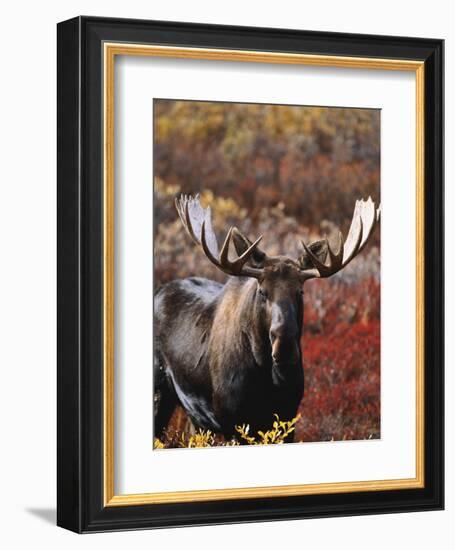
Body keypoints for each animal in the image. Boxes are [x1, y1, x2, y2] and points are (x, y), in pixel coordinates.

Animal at [154, 195, 382, 444]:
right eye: (262, 291)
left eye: (300, 292)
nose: (284, 347)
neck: (267, 377)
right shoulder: (231, 420)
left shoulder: (288, 417)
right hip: (160, 393)